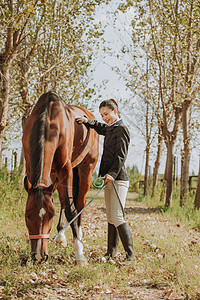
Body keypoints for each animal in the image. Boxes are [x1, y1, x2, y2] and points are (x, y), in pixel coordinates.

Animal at [22, 91, 99, 262]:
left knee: (79, 203)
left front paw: (79, 254)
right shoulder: (31, 169)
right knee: (64, 202)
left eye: (51, 216)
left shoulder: (66, 169)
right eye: (28, 216)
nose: (39, 256)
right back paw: (61, 236)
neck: (49, 119)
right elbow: (62, 203)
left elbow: (71, 208)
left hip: (86, 170)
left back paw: (78, 234)